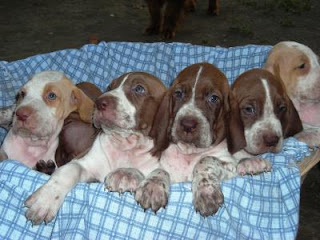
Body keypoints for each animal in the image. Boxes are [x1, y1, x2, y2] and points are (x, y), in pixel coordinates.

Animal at [24, 71, 168, 225]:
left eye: (139, 89)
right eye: (110, 87)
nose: (99, 103)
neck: (126, 144)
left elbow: (161, 171)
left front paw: (153, 187)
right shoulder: (85, 165)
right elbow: (69, 170)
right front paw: (46, 199)